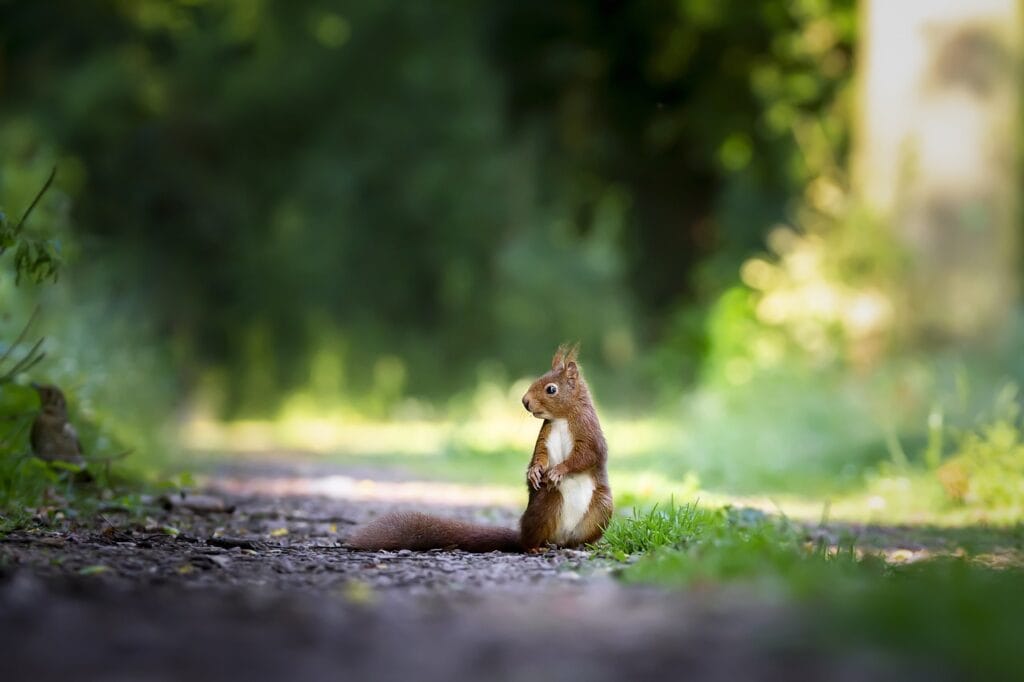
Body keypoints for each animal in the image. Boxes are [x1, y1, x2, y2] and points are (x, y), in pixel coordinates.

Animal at [349, 344, 613, 552]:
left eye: (551, 389)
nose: (525, 402)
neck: (562, 418)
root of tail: (559, 538)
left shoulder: (588, 432)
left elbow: (586, 456)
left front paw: (558, 470)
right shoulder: (545, 436)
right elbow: (540, 455)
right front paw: (534, 472)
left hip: (601, 508)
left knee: (577, 537)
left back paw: (580, 545)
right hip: (547, 504)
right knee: (531, 539)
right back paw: (535, 547)